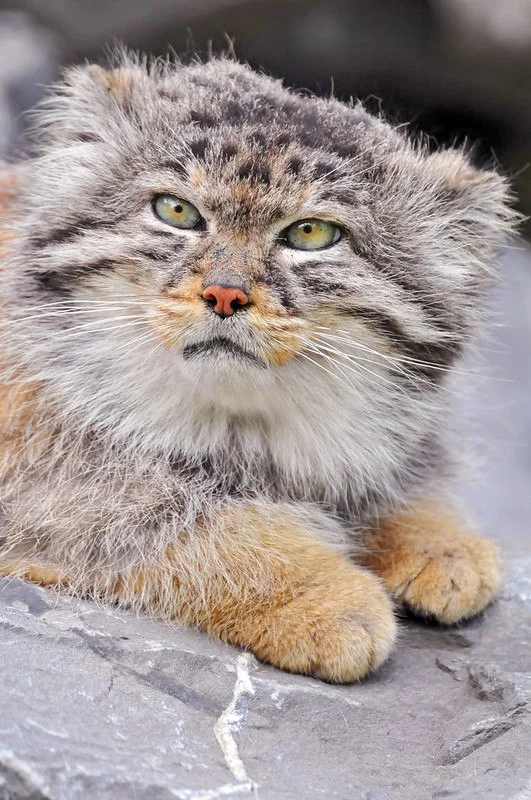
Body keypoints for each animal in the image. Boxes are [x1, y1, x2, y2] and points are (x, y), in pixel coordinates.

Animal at [0, 54, 516, 680]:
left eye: (311, 233)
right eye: (176, 210)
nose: (224, 295)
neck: (237, 431)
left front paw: (439, 538)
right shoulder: (54, 498)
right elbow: (206, 529)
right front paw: (324, 597)